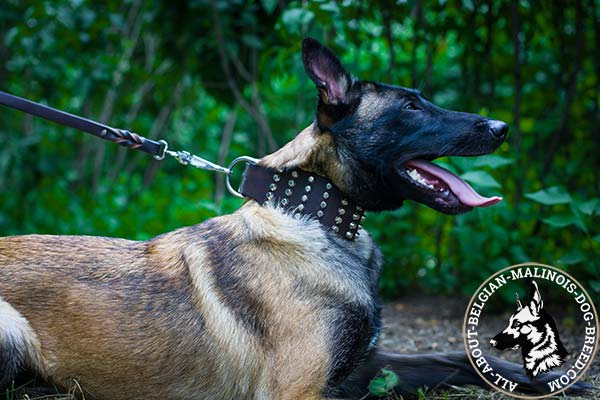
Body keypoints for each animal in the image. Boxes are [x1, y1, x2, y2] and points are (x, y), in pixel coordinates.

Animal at [0, 38, 584, 400]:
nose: (502, 127)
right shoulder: (297, 389)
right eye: (411, 107)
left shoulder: (364, 365)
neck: (319, 217)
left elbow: (453, 358)